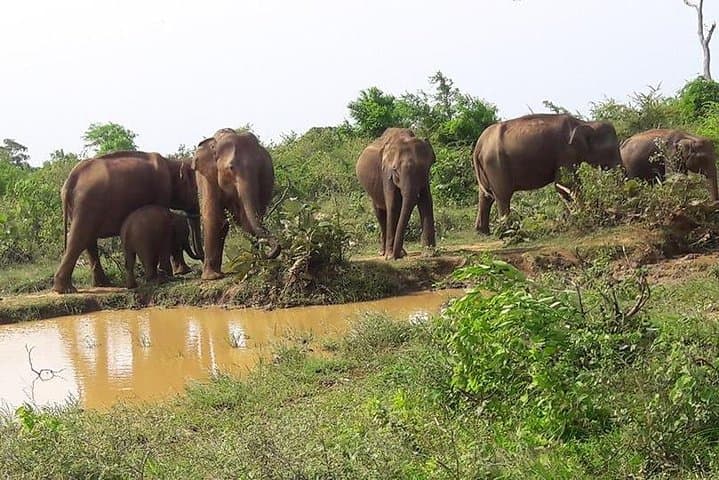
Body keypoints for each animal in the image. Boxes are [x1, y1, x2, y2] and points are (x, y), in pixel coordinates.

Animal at [52, 151, 202, 294]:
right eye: (197, 190)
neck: (172, 163)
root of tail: (69, 182)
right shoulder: (162, 191)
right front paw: (171, 275)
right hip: (86, 205)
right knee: (79, 239)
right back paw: (66, 290)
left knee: (89, 240)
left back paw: (104, 284)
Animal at [192, 129, 280, 280]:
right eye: (231, 168)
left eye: (260, 169)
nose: (268, 253)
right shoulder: (208, 177)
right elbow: (213, 217)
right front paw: (211, 278)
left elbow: (246, 217)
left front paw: (254, 268)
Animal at [356, 127, 436, 260]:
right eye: (395, 170)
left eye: (422, 169)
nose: (395, 256)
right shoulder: (386, 173)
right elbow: (393, 205)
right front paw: (390, 256)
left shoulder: (425, 177)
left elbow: (426, 202)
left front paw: (429, 254)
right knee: (380, 213)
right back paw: (384, 253)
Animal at [473, 113, 622, 234]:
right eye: (611, 148)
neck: (584, 123)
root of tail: (478, 146)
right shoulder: (565, 152)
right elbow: (565, 183)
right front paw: (585, 213)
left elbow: (563, 187)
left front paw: (571, 218)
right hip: (496, 165)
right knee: (503, 196)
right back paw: (509, 231)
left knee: (486, 197)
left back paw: (483, 232)